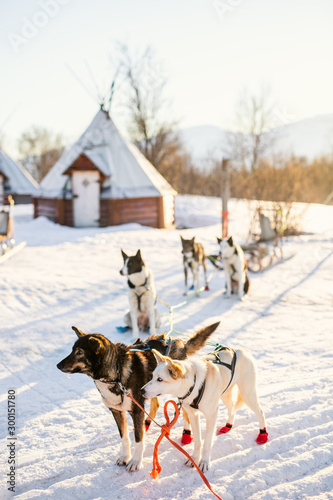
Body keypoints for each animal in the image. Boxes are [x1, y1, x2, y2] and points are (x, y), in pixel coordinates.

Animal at [56, 322, 218, 470]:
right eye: (72, 350)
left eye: (79, 352)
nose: (58, 365)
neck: (116, 373)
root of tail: (179, 342)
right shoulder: (117, 411)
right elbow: (124, 438)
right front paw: (124, 456)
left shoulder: (136, 409)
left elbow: (138, 440)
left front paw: (135, 461)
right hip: (150, 389)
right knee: (155, 405)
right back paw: (146, 424)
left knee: (184, 413)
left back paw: (186, 434)